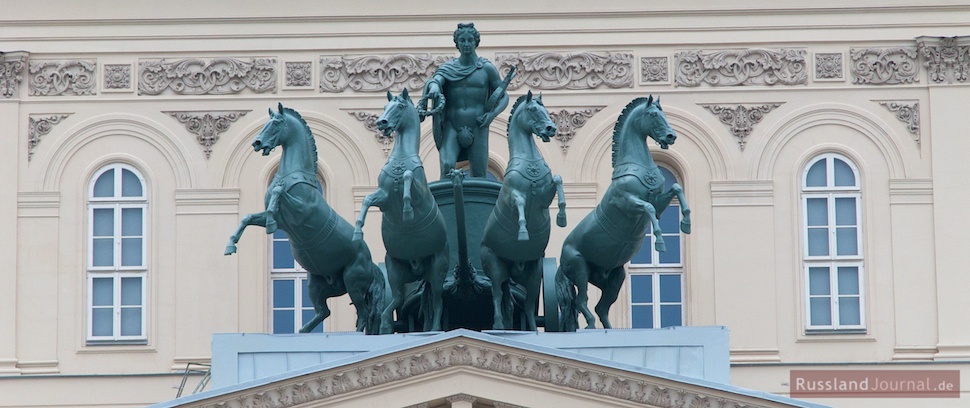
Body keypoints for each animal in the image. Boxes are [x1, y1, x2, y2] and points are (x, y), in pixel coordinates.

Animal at [223, 103, 386, 334]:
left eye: (276, 123)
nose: (257, 143)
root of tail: (372, 265)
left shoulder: (301, 213)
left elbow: (279, 193)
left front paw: (271, 218)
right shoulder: (277, 220)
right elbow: (247, 218)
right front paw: (231, 244)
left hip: (353, 280)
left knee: (363, 314)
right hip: (317, 284)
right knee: (323, 311)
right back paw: (301, 331)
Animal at [352, 89, 450, 334]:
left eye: (400, 107)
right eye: (385, 106)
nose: (381, 122)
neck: (401, 158)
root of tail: (419, 268)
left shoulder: (420, 195)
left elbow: (407, 178)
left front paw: (406, 211)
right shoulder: (383, 198)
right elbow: (367, 199)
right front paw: (358, 230)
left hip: (437, 269)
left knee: (438, 301)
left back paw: (434, 328)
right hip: (396, 271)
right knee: (394, 301)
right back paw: (386, 325)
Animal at [478, 91, 564, 330]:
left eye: (545, 108)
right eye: (533, 110)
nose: (550, 128)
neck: (530, 162)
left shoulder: (545, 195)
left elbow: (558, 180)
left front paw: (562, 216)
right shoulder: (513, 195)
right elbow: (519, 203)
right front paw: (524, 231)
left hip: (533, 273)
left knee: (526, 305)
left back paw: (533, 329)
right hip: (495, 267)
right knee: (497, 294)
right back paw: (498, 325)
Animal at [552, 96, 688, 332]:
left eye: (663, 113)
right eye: (653, 114)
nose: (671, 136)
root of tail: (560, 262)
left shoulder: (661, 202)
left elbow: (676, 190)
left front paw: (686, 221)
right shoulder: (627, 202)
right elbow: (648, 208)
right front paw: (659, 241)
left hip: (615, 277)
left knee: (601, 308)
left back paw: (609, 328)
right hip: (579, 269)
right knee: (582, 302)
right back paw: (590, 325)